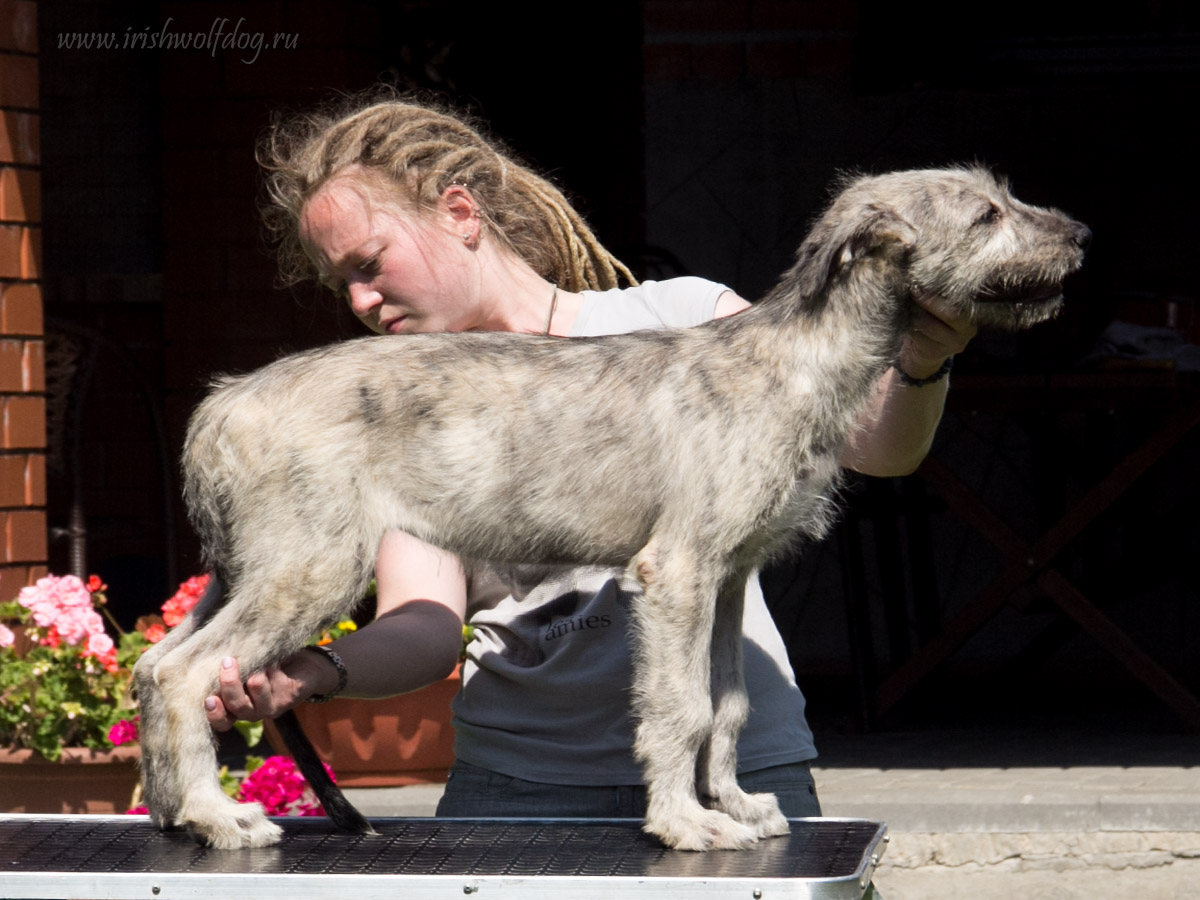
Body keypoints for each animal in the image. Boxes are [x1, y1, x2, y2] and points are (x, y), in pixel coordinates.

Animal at [133, 169, 1089, 854]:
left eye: (1004, 198)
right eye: (986, 215)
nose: (1082, 234)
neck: (800, 354)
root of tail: (221, 403)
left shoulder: (728, 577)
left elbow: (728, 705)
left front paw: (735, 803)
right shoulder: (678, 574)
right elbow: (680, 707)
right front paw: (687, 824)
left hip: (248, 569)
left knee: (151, 664)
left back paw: (176, 815)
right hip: (310, 565)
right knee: (184, 674)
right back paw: (219, 818)